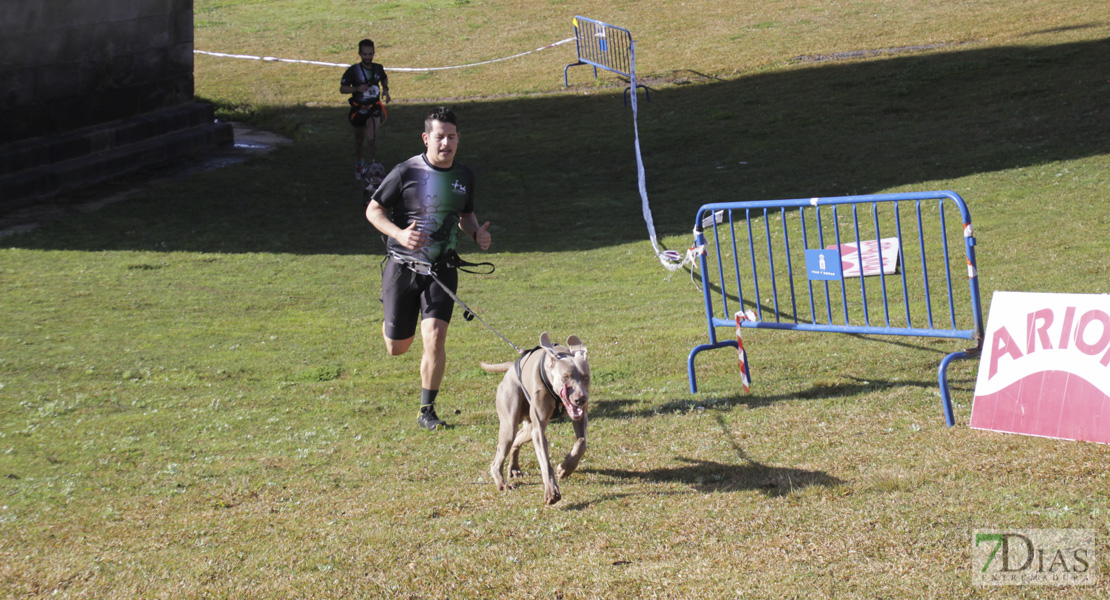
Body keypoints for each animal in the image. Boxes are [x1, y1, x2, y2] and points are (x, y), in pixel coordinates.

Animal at [479, 332, 590, 505]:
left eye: (586, 377)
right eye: (565, 377)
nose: (581, 399)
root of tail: (511, 369)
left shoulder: (580, 418)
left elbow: (581, 443)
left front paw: (565, 468)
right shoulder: (538, 430)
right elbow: (545, 461)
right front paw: (552, 491)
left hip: (528, 426)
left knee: (517, 440)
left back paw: (514, 468)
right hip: (510, 422)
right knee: (499, 457)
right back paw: (502, 483)